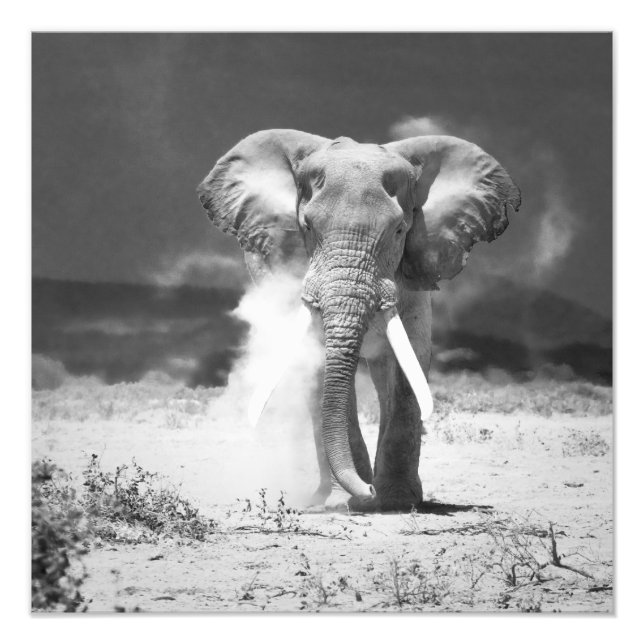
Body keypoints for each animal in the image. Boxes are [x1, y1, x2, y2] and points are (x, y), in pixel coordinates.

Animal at [197, 129, 521, 511]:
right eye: (307, 227)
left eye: (399, 231)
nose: (368, 491)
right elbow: (319, 365)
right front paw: (346, 500)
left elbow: (409, 364)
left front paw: (395, 501)